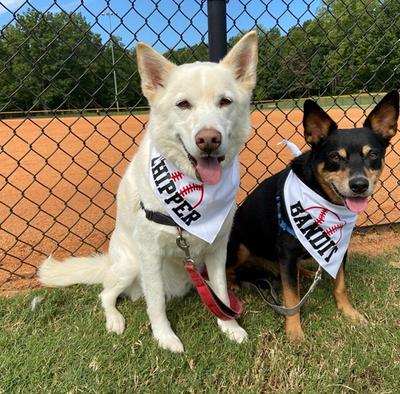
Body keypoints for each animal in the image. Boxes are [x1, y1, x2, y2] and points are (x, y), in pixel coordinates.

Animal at [39, 30, 258, 350]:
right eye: (183, 104)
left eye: (225, 101)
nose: (209, 139)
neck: (192, 190)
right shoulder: (151, 254)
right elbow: (156, 304)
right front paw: (165, 338)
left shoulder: (217, 249)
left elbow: (220, 294)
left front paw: (229, 326)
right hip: (130, 265)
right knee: (106, 295)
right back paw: (115, 320)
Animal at [227, 91, 398, 340]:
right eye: (335, 156)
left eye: (373, 154)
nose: (359, 185)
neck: (321, 195)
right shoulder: (287, 250)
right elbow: (292, 298)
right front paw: (294, 332)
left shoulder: (340, 247)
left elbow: (340, 284)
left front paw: (349, 312)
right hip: (238, 245)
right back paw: (233, 284)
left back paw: (305, 273)